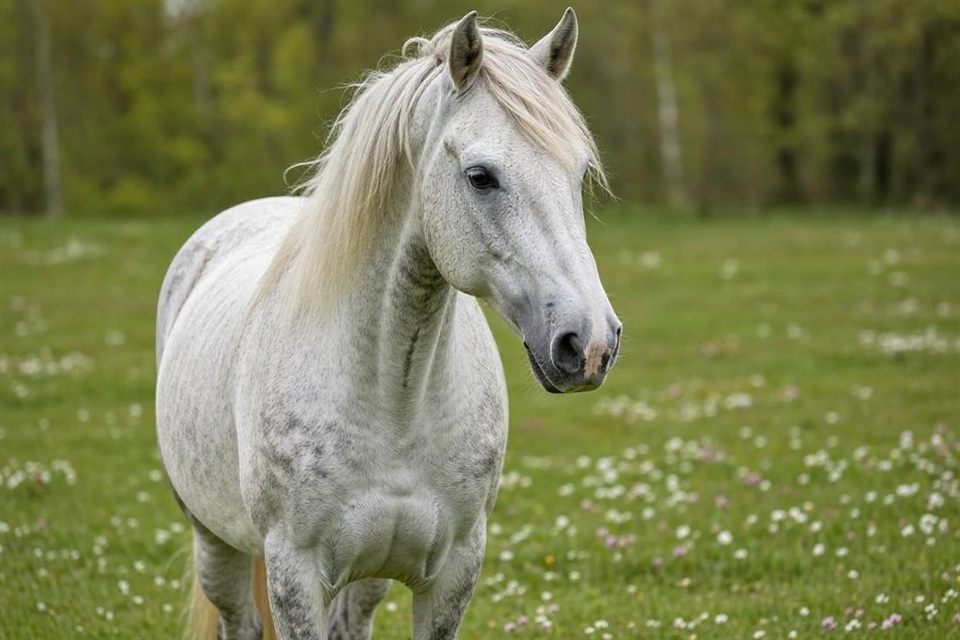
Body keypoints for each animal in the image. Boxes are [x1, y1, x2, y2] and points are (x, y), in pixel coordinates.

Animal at [156, 9, 621, 640]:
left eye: (578, 173)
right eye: (480, 176)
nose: (589, 344)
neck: (396, 396)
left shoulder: (453, 572)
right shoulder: (294, 577)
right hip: (214, 542)